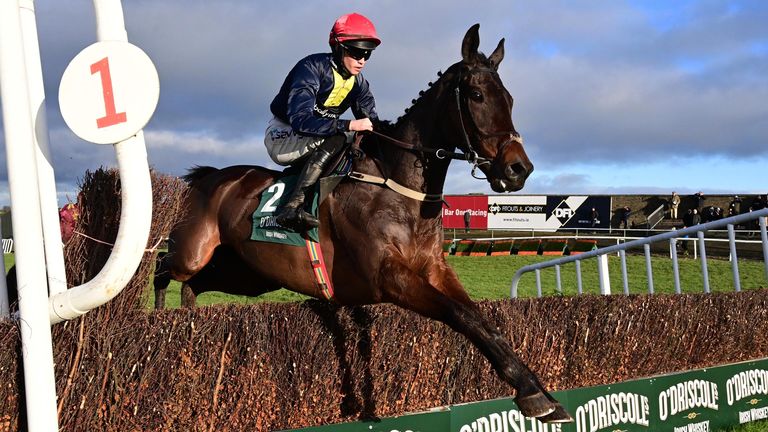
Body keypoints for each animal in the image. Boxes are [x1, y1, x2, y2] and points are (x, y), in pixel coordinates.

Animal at [153, 24, 568, 422]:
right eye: (477, 95)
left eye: (510, 99)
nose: (518, 169)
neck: (400, 189)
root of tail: (210, 176)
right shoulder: (387, 277)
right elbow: (460, 314)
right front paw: (533, 394)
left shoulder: (434, 269)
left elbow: (483, 320)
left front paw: (538, 393)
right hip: (193, 251)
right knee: (162, 267)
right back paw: (157, 321)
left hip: (247, 274)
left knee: (195, 285)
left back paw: (186, 323)